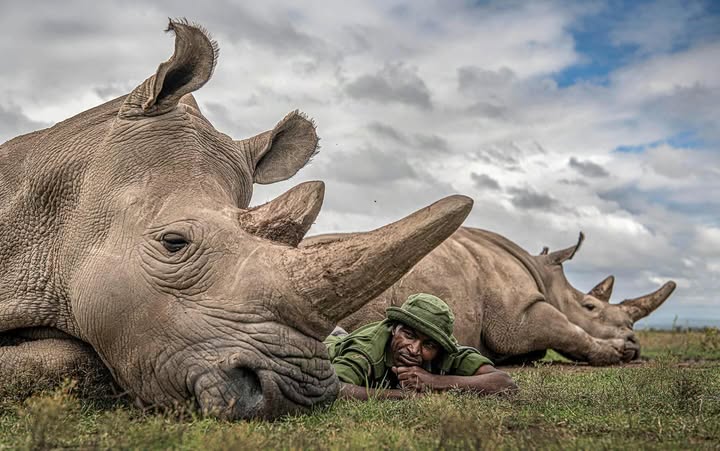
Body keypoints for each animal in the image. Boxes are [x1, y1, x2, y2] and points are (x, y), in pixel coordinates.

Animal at [319, 227, 676, 365]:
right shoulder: (519, 316)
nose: (634, 344)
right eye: (590, 307)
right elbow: (568, 330)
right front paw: (614, 352)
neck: (546, 275)